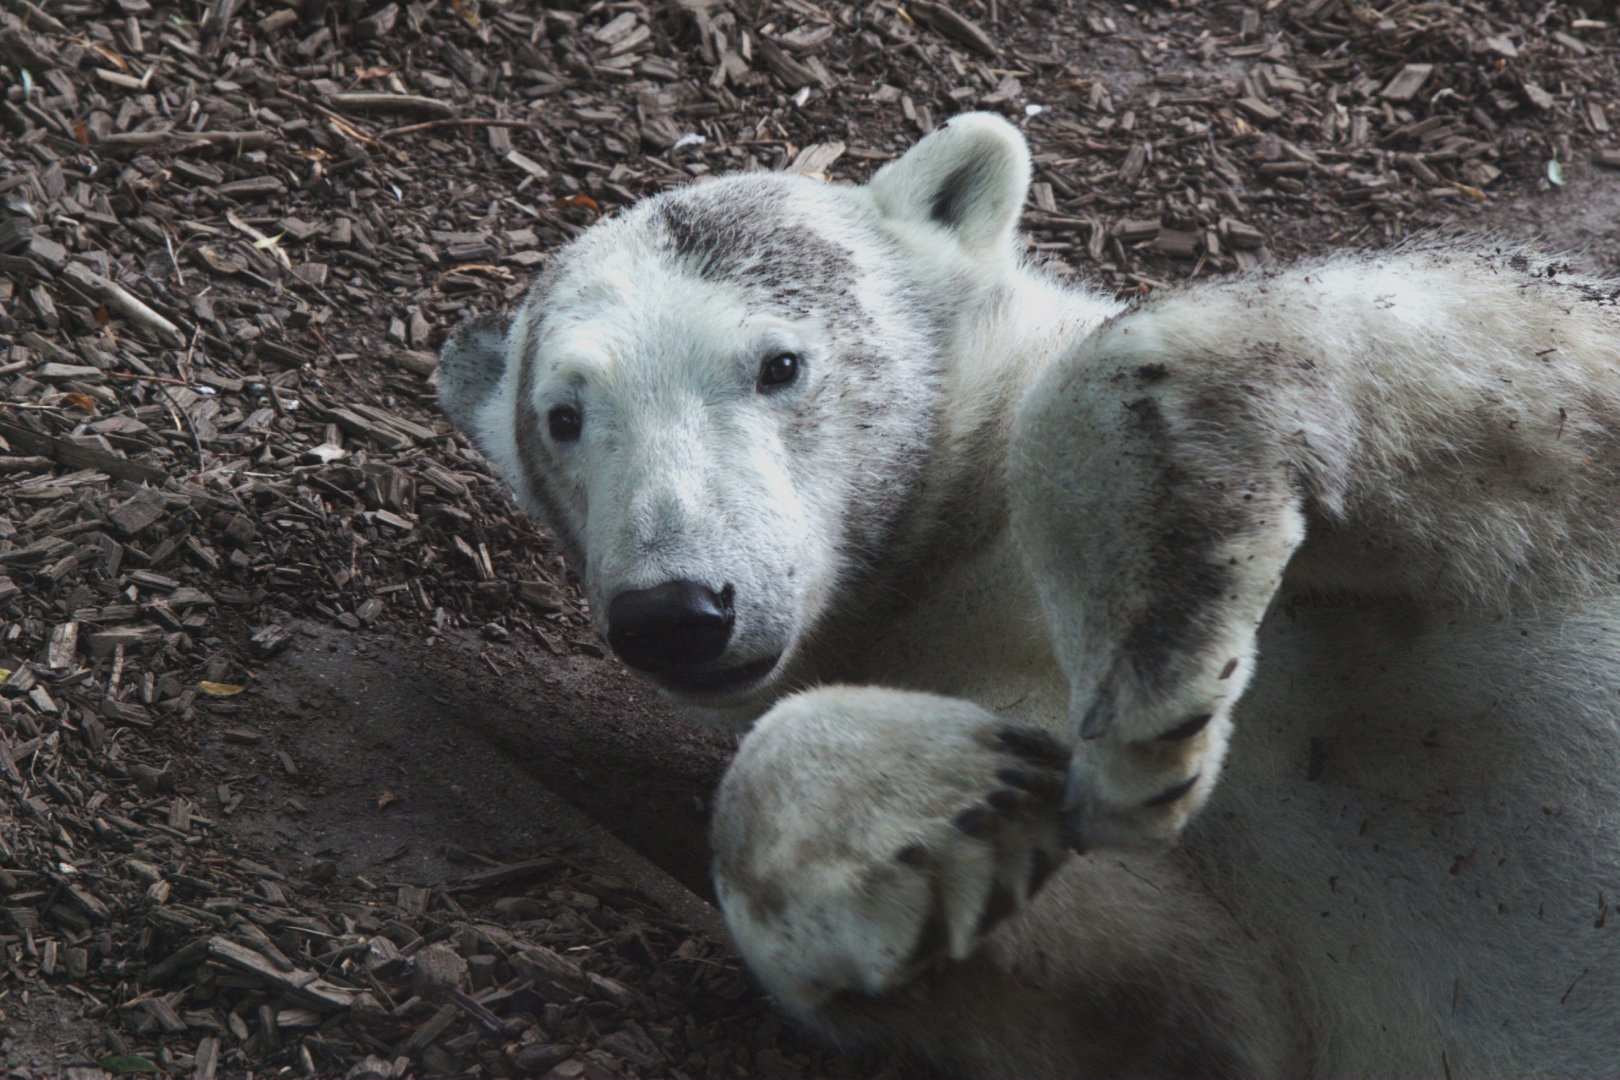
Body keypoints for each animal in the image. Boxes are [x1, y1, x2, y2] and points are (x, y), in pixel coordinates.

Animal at [438, 112, 1620, 1077]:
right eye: (562, 417)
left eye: (779, 364)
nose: (679, 611)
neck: (963, 556)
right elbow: (1179, 994)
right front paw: (959, 796)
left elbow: (1513, 355)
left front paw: (1150, 686)